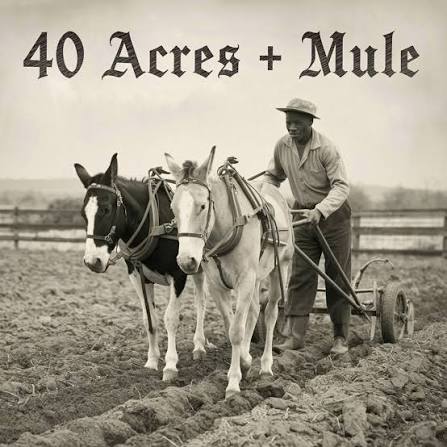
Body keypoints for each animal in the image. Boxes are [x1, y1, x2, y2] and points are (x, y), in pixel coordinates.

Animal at [74, 153, 207, 381]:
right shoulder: (137, 276)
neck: (153, 225)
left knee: (201, 301)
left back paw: (199, 345)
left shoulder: (179, 274)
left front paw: (170, 365)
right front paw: (152, 361)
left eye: (106, 209)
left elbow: (171, 318)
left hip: (198, 267)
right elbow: (149, 319)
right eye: (84, 214)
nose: (92, 261)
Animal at [165, 147, 293, 397]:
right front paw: (244, 360)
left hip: (279, 268)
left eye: (202, 206)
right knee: (254, 311)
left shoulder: (244, 280)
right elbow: (231, 324)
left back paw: (266, 366)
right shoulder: (217, 284)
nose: (186, 261)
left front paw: (233, 383)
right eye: (173, 208)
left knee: (271, 313)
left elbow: (236, 331)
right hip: (256, 277)